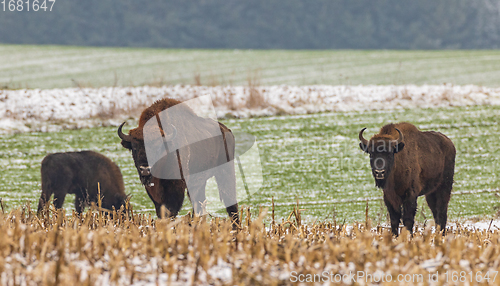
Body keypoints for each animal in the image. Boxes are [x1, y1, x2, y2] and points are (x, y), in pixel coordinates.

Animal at [119, 98, 240, 226]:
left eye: (158, 147)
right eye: (134, 147)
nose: (145, 169)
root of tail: (227, 130)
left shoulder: (177, 186)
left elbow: (171, 210)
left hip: (225, 172)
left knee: (230, 200)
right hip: (199, 181)